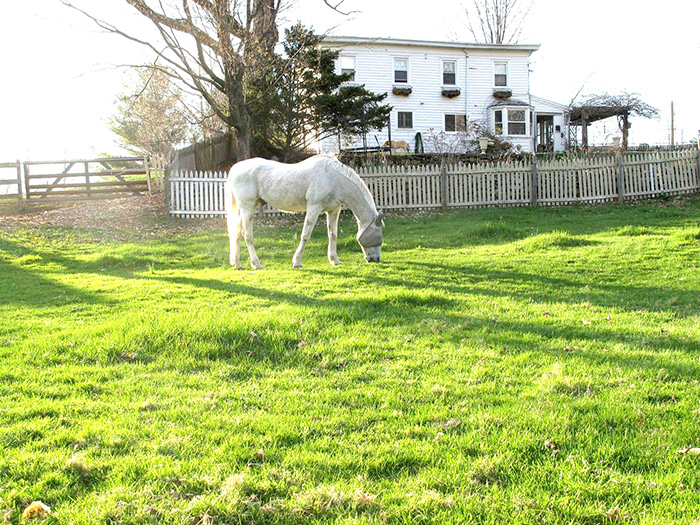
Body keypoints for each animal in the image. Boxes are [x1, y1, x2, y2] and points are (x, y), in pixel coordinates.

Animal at [224, 155, 386, 270]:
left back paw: (238, 264)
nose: (376, 259)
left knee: (237, 233)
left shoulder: (333, 210)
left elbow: (333, 234)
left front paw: (335, 260)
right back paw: (256, 264)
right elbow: (306, 235)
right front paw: (297, 262)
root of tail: (234, 169)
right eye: (378, 237)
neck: (333, 178)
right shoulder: (314, 208)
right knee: (247, 235)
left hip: (248, 208)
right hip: (247, 207)